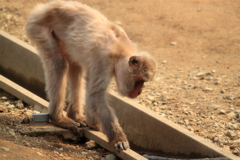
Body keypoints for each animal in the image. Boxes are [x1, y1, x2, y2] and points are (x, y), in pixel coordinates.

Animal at [26, 0, 157, 152]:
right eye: (140, 81)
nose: (139, 91)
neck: (119, 48)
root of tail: (43, 8)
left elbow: (92, 93)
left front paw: (93, 124)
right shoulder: (102, 61)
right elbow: (96, 97)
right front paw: (118, 138)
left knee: (76, 67)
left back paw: (74, 115)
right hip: (38, 27)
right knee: (59, 63)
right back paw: (57, 118)